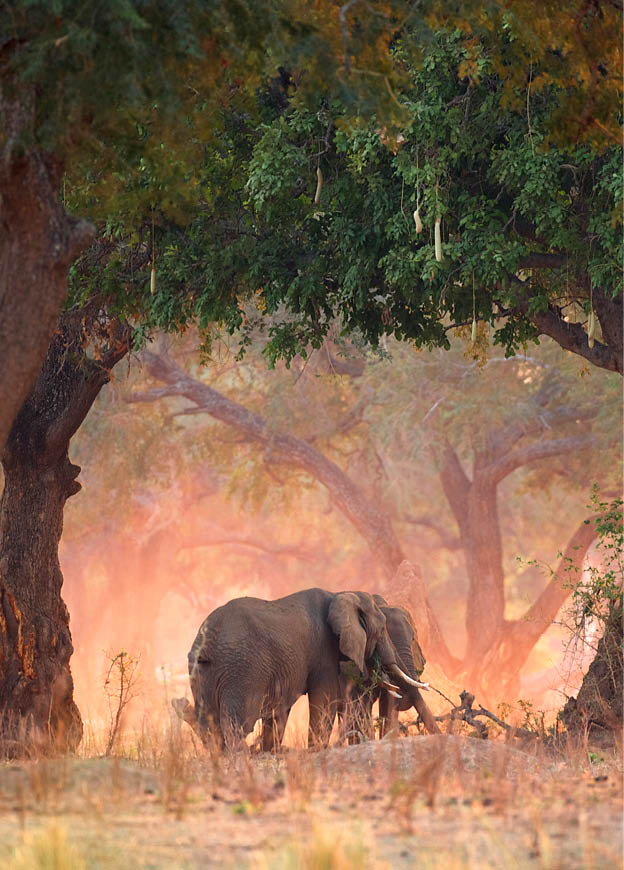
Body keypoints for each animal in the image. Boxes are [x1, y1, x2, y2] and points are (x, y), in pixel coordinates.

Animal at [172, 587, 427, 750]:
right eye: (382, 630)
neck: (341, 595)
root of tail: (207, 640)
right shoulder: (324, 653)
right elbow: (325, 701)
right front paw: (316, 750)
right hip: (241, 668)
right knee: (237, 724)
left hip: (203, 672)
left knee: (209, 721)